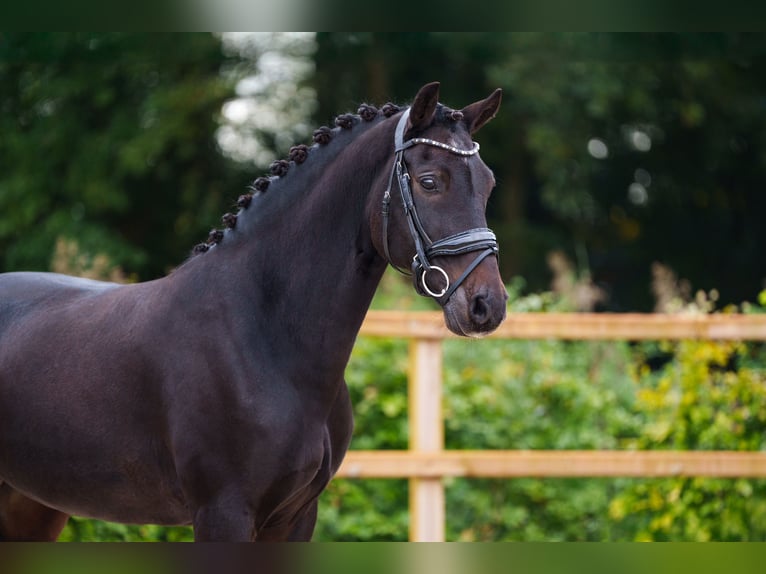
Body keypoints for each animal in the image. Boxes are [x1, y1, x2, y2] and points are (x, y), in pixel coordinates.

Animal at [0, 82, 510, 544]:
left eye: (488, 183)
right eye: (430, 182)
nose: (487, 306)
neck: (263, 335)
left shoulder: (295, 518)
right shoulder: (223, 514)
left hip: (33, 507)